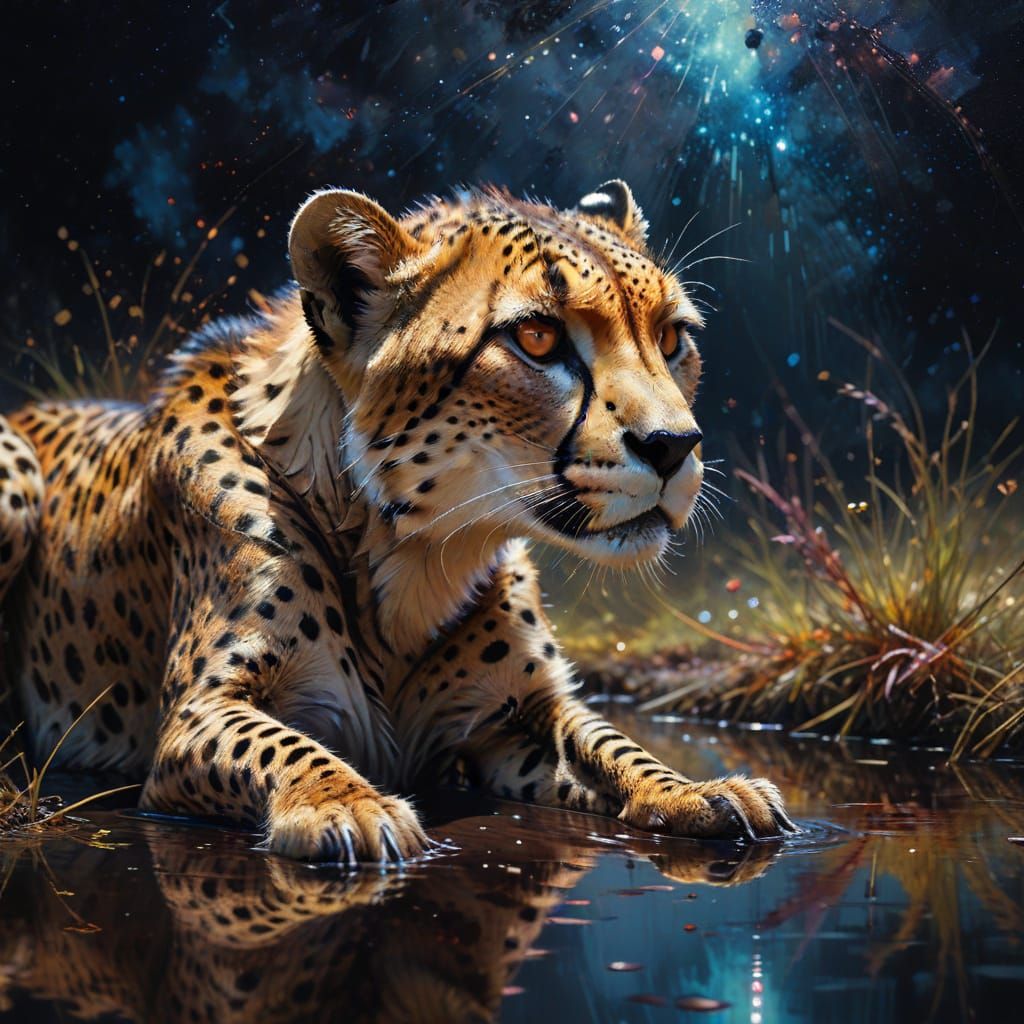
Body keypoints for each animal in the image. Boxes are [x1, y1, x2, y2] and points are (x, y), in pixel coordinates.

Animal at [0, 179, 794, 863]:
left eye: (672, 338)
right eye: (538, 338)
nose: (675, 446)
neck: (418, 553)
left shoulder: (520, 712)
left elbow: (611, 741)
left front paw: (697, 789)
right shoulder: (198, 713)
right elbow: (283, 746)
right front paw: (346, 803)